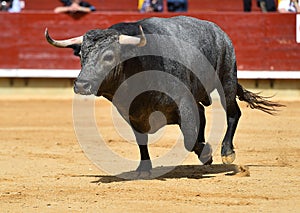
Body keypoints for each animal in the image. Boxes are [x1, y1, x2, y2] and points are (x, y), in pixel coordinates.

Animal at [45, 15, 282, 172]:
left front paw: (206, 154)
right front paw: (144, 169)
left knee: (233, 113)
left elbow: (189, 137)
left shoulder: (184, 101)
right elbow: (141, 140)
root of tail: (219, 32)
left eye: (109, 56)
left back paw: (226, 152)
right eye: (81, 56)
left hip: (227, 79)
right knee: (204, 114)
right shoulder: (132, 113)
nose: (81, 85)